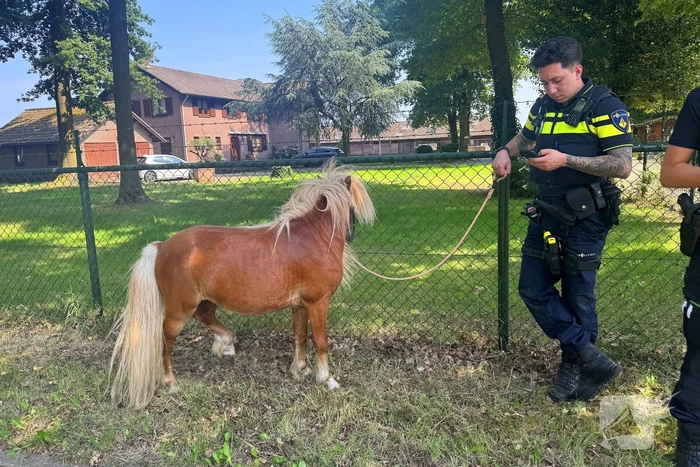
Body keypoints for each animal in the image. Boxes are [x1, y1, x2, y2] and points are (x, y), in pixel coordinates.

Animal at [109, 161, 376, 409]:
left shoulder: (300, 306)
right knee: (165, 343)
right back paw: (171, 382)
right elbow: (320, 341)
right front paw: (327, 379)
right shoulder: (318, 302)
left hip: (205, 301)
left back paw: (226, 344)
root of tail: (162, 246)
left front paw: (300, 369)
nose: (351, 236)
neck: (314, 238)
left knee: (205, 316)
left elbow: (299, 336)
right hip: (179, 311)